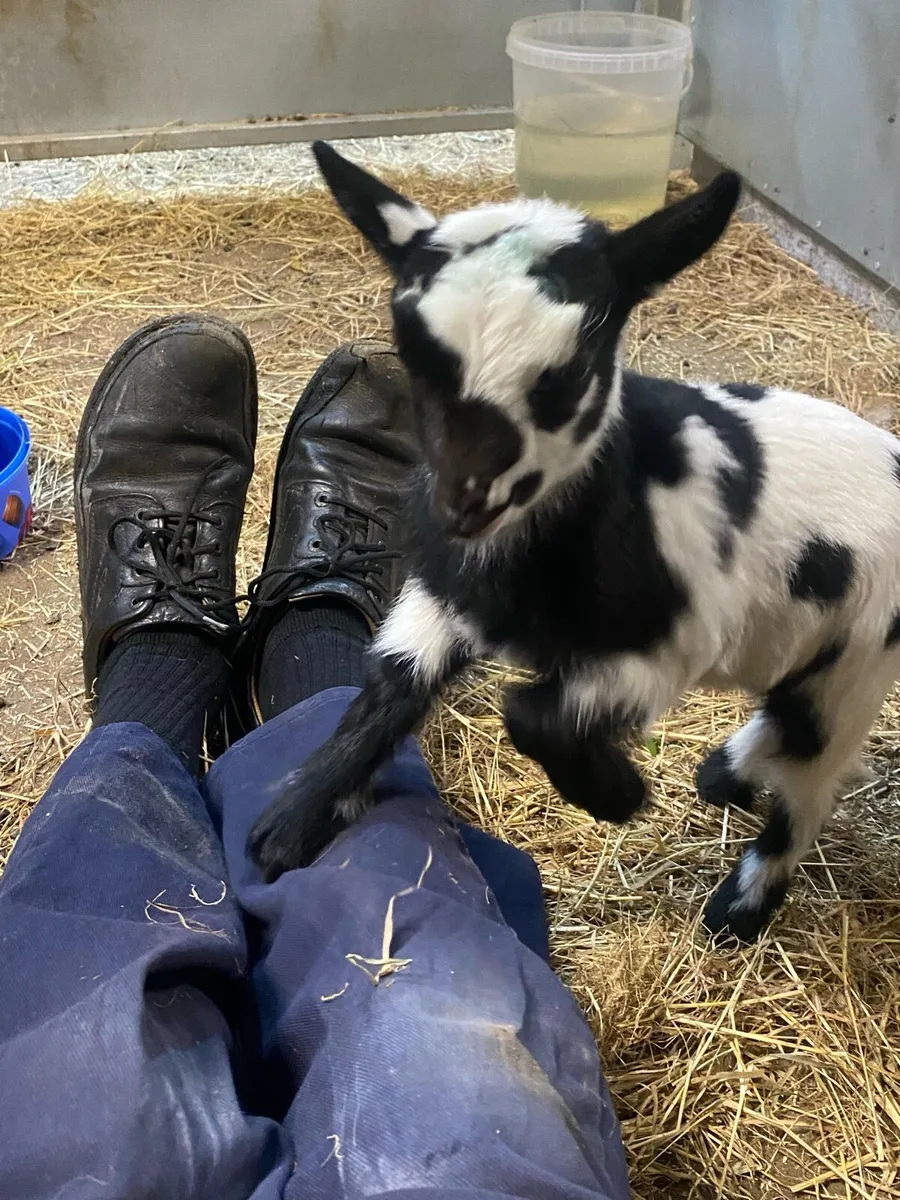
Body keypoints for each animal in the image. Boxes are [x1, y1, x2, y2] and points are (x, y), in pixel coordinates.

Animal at [249, 142, 900, 942]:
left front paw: (618, 796)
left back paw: (738, 909)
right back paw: (726, 775)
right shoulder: (442, 602)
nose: (464, 503)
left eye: (569, 371)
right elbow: (388, 687)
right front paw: (289, 821)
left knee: (809, 780)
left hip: (855, 662)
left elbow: (531, 714)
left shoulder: (663, 646)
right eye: (414, 351)